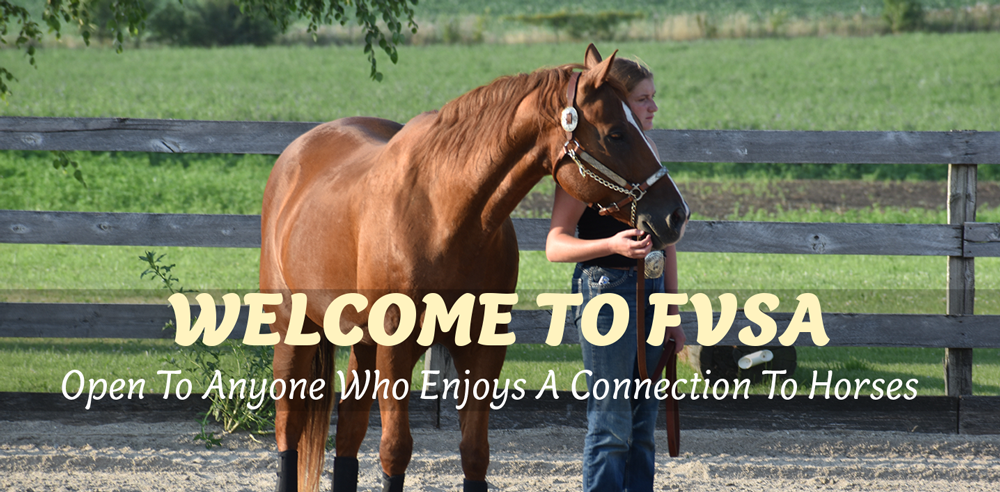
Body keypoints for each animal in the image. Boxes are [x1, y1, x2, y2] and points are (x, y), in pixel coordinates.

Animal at [260, 44, 689, 492]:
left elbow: (475, 453)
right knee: (289, 426)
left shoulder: (482, 344)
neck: (444, 215)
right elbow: (395, 449)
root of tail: (298, 151)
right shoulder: (396, 345)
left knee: (348, 429)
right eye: (616, 133)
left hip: (361, 340)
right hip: (293, 327)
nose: (676, 214)